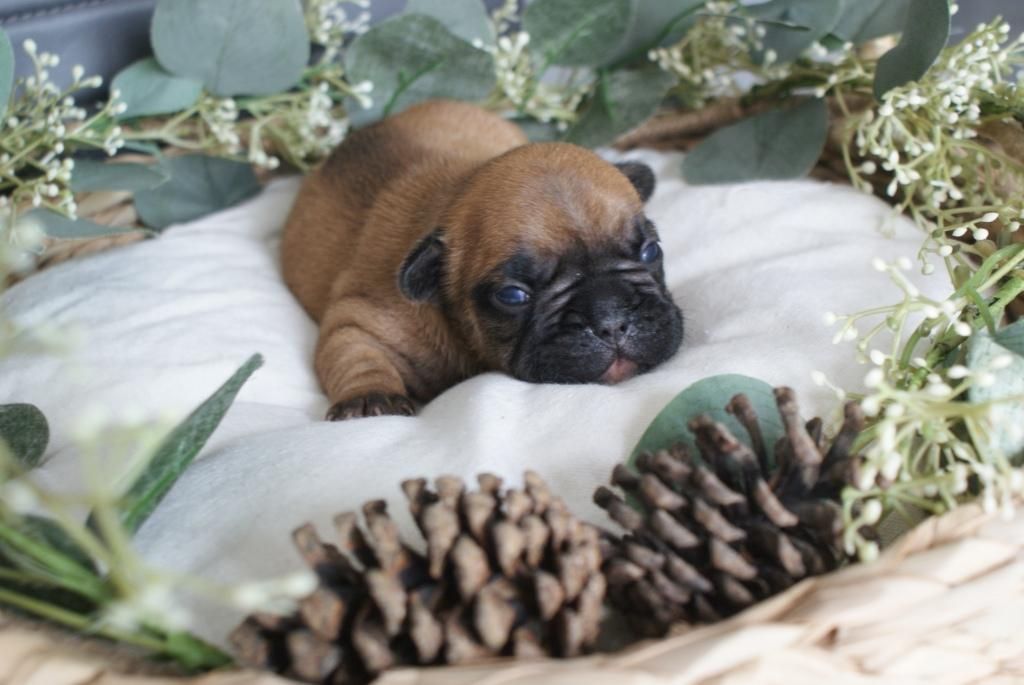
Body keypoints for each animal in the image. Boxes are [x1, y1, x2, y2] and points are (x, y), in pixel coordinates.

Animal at [280, 99, 684, 419]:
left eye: (651, 251)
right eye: (513, 296)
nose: (611, 318)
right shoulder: (358, 322)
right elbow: (357, 355)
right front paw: (369, 397)